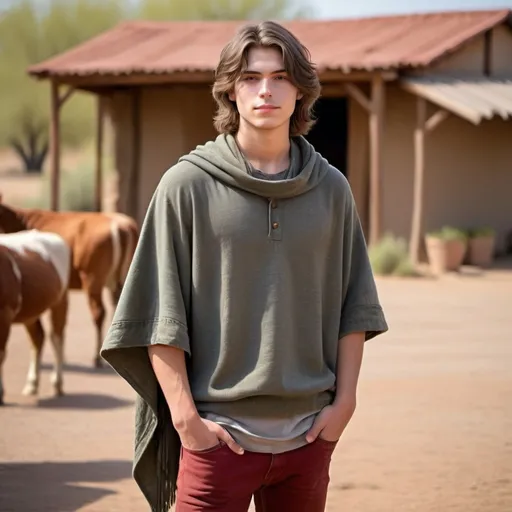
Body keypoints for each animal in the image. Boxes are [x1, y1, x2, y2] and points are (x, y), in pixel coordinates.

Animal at [0, 229, 70, 404]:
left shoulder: (5, 313)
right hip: (30, 313)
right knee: (38, 337)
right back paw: (32, 383)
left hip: (61, 299)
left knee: (56, 338)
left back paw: (57, 383)